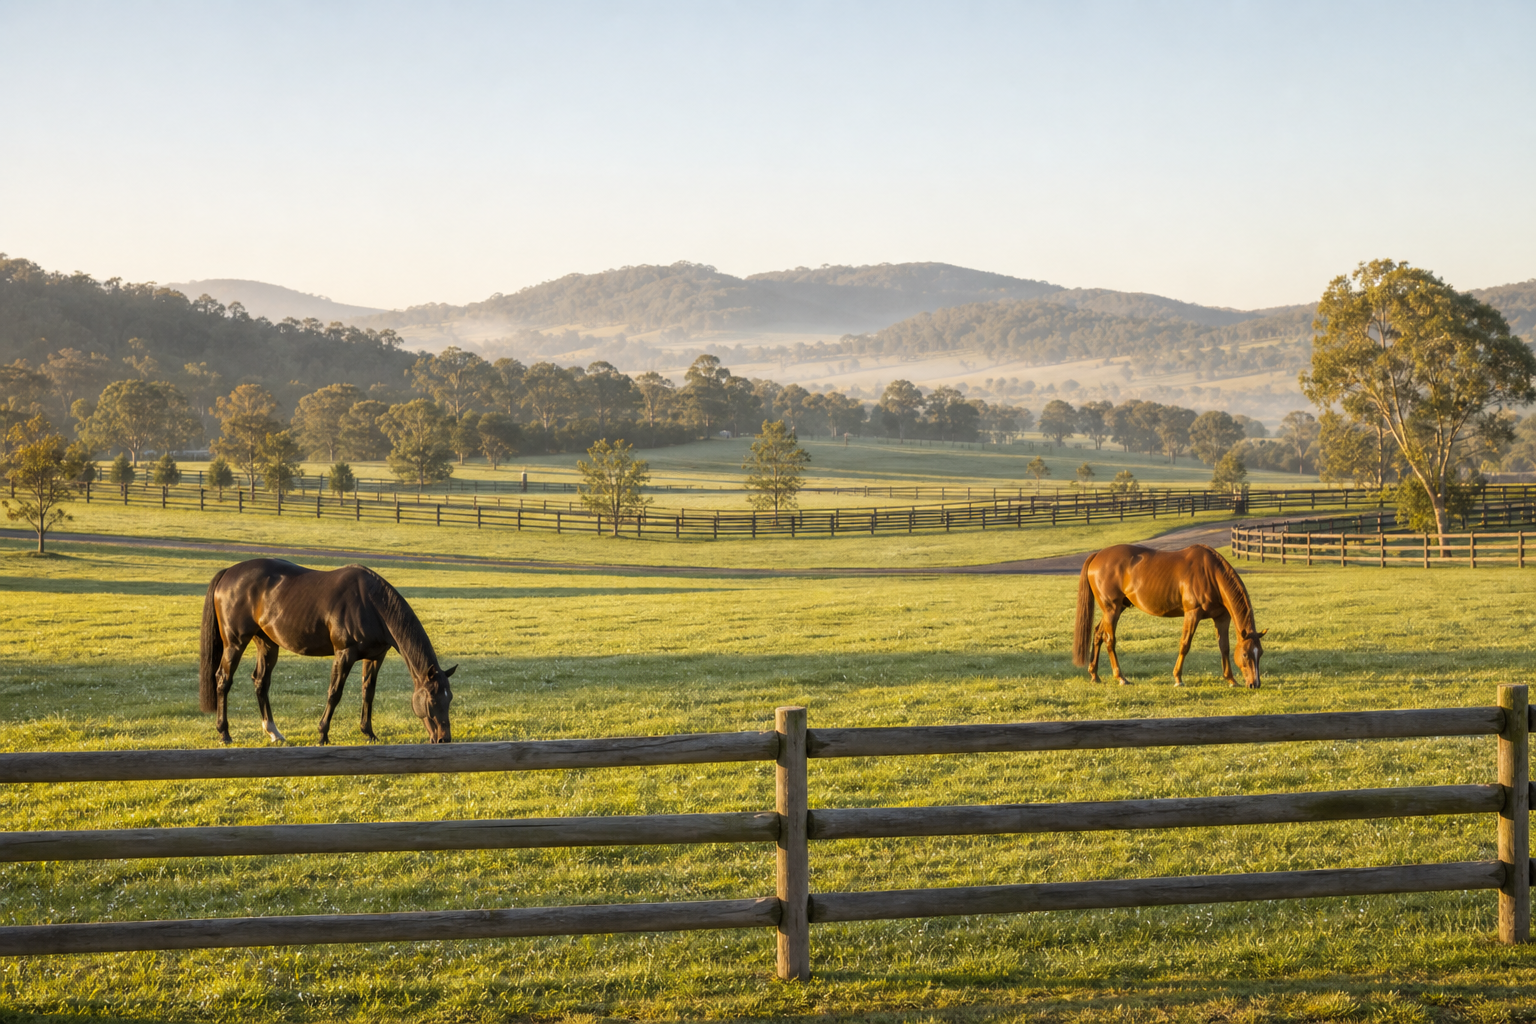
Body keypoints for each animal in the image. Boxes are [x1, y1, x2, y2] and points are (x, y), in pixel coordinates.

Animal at [199, 559, 456, 745]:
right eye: (431, 700)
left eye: (449, 698)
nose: (444, 739)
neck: (370, 603)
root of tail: (228, 573)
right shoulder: (344, 654)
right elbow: (334, 693)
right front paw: (323, 734)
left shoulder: (375, 657)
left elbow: (368, 692)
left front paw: (369, 733)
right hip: (235, 643)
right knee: (223, 680)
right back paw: (224, 733)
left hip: (267, 643)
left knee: (261, 682)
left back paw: (273, 732)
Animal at [1073, 543, 1265, 688]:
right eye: (1246, 655)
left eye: (1260, 653)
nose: (1254, 684)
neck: (1210, 574)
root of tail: (1097, 555)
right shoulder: (1192, 614)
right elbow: (1185, 644)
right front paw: (1178, 678)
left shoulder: (1222, 618)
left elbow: (1224, 647)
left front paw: (1231, 680)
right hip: (1112, 610)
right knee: (1109, 640)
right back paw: (1121, 677)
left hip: (1115, 609)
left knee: (1098, 634)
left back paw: (1094, 675)